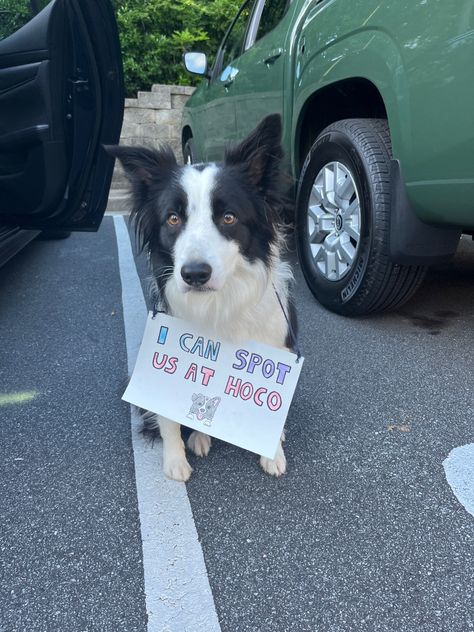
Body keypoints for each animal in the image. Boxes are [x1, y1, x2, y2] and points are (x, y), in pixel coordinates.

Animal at [109, 113, 298, 482]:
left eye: (228, 217)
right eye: (173, 218)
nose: (194, 274)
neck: (219, 304)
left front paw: (272, 452)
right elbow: (168, 419)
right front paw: (175, 460)